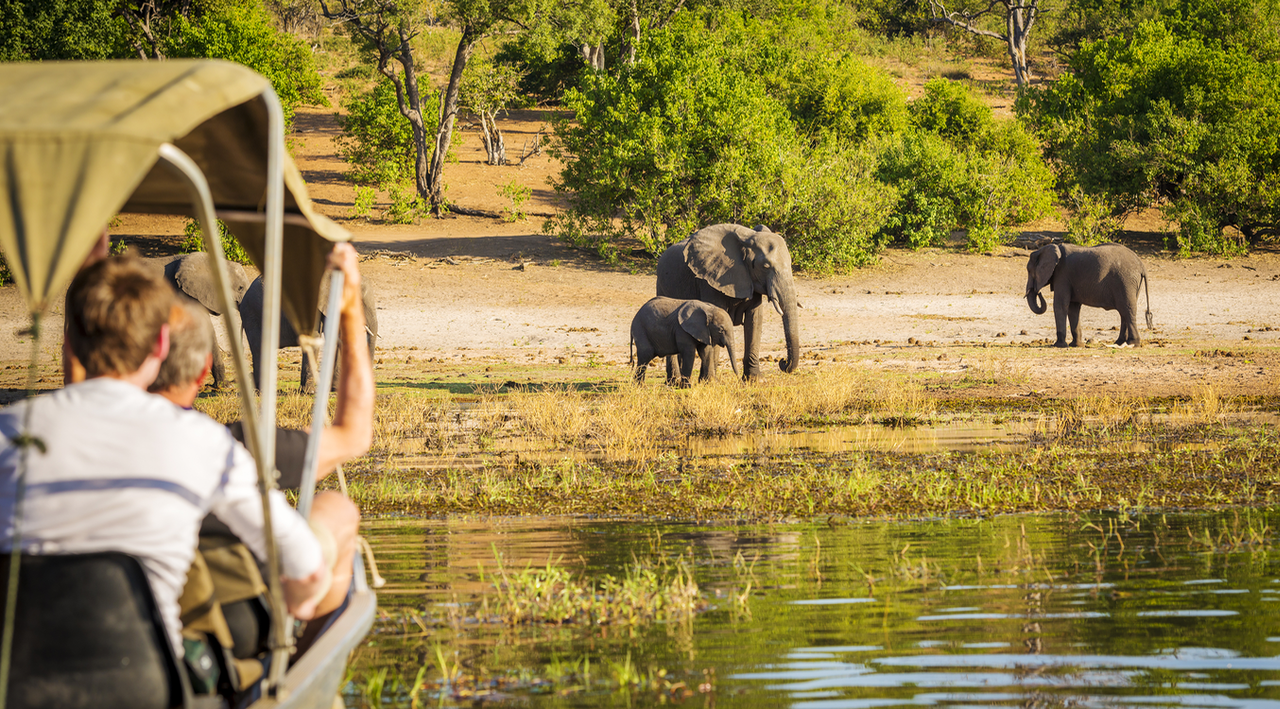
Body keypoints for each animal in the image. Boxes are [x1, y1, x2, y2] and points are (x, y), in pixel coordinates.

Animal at [655, 222, 793, 378]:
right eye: (765, 266)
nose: (783, 362)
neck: (747, 238)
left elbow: (754, 319)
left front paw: (755, 380)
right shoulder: (709, 280)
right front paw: (709, 381)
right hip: (661, 285)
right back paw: (675, 381)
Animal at [1024, 241, 1157, 345]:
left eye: (1029, 270)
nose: (1038, 292)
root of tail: (1142, 265)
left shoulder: (1062, 275)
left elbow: (1060, 305)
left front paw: (1058, 345)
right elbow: (1073, 308)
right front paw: (1075, 345)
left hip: (1125, 281)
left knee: (1127, 309)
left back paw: (1133, 343)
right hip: (1131, 283)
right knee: (1124, 311)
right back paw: (1119, 343)